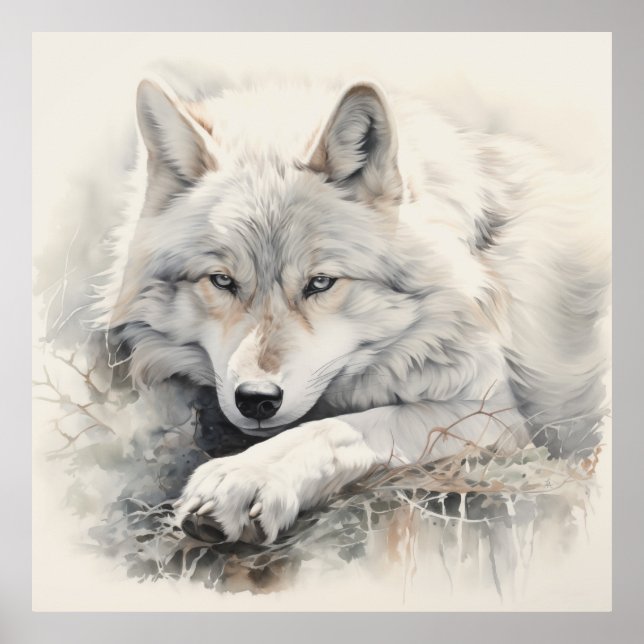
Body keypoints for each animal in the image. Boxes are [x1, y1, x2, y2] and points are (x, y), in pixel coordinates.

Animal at [105, 76, 610, 545]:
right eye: (223, 281)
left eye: (320, 283)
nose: (256, 399)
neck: (478, 260)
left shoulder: (494, 414)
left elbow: (337, 428)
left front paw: (245, 478)